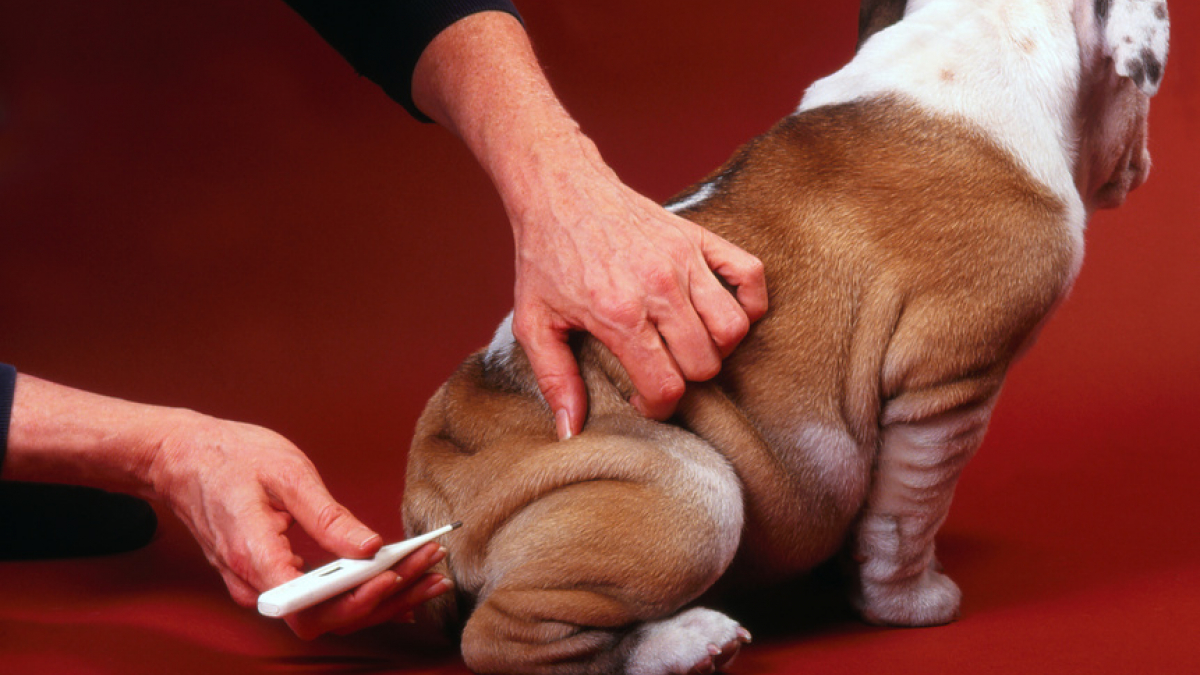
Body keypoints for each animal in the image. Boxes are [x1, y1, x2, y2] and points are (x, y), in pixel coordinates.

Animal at [398, 2, 1166, 667]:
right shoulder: (947, 383)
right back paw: (686, 644)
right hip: (691, 491)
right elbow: (910, 513)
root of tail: (431, 492)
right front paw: (912, 600)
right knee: (504, 638)